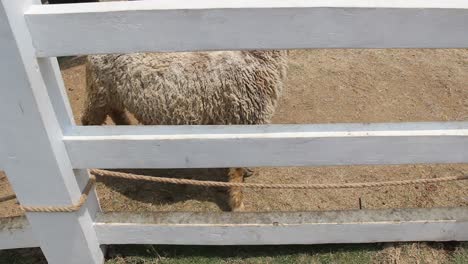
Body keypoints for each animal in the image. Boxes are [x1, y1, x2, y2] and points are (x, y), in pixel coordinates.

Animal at [82, 50, 288, 211]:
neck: (254, 59)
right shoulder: (243, 119)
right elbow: (236, 172)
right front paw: (238, 205)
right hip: (99, 92)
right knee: (88, 121)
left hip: (111, 94)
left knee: (116, 112)